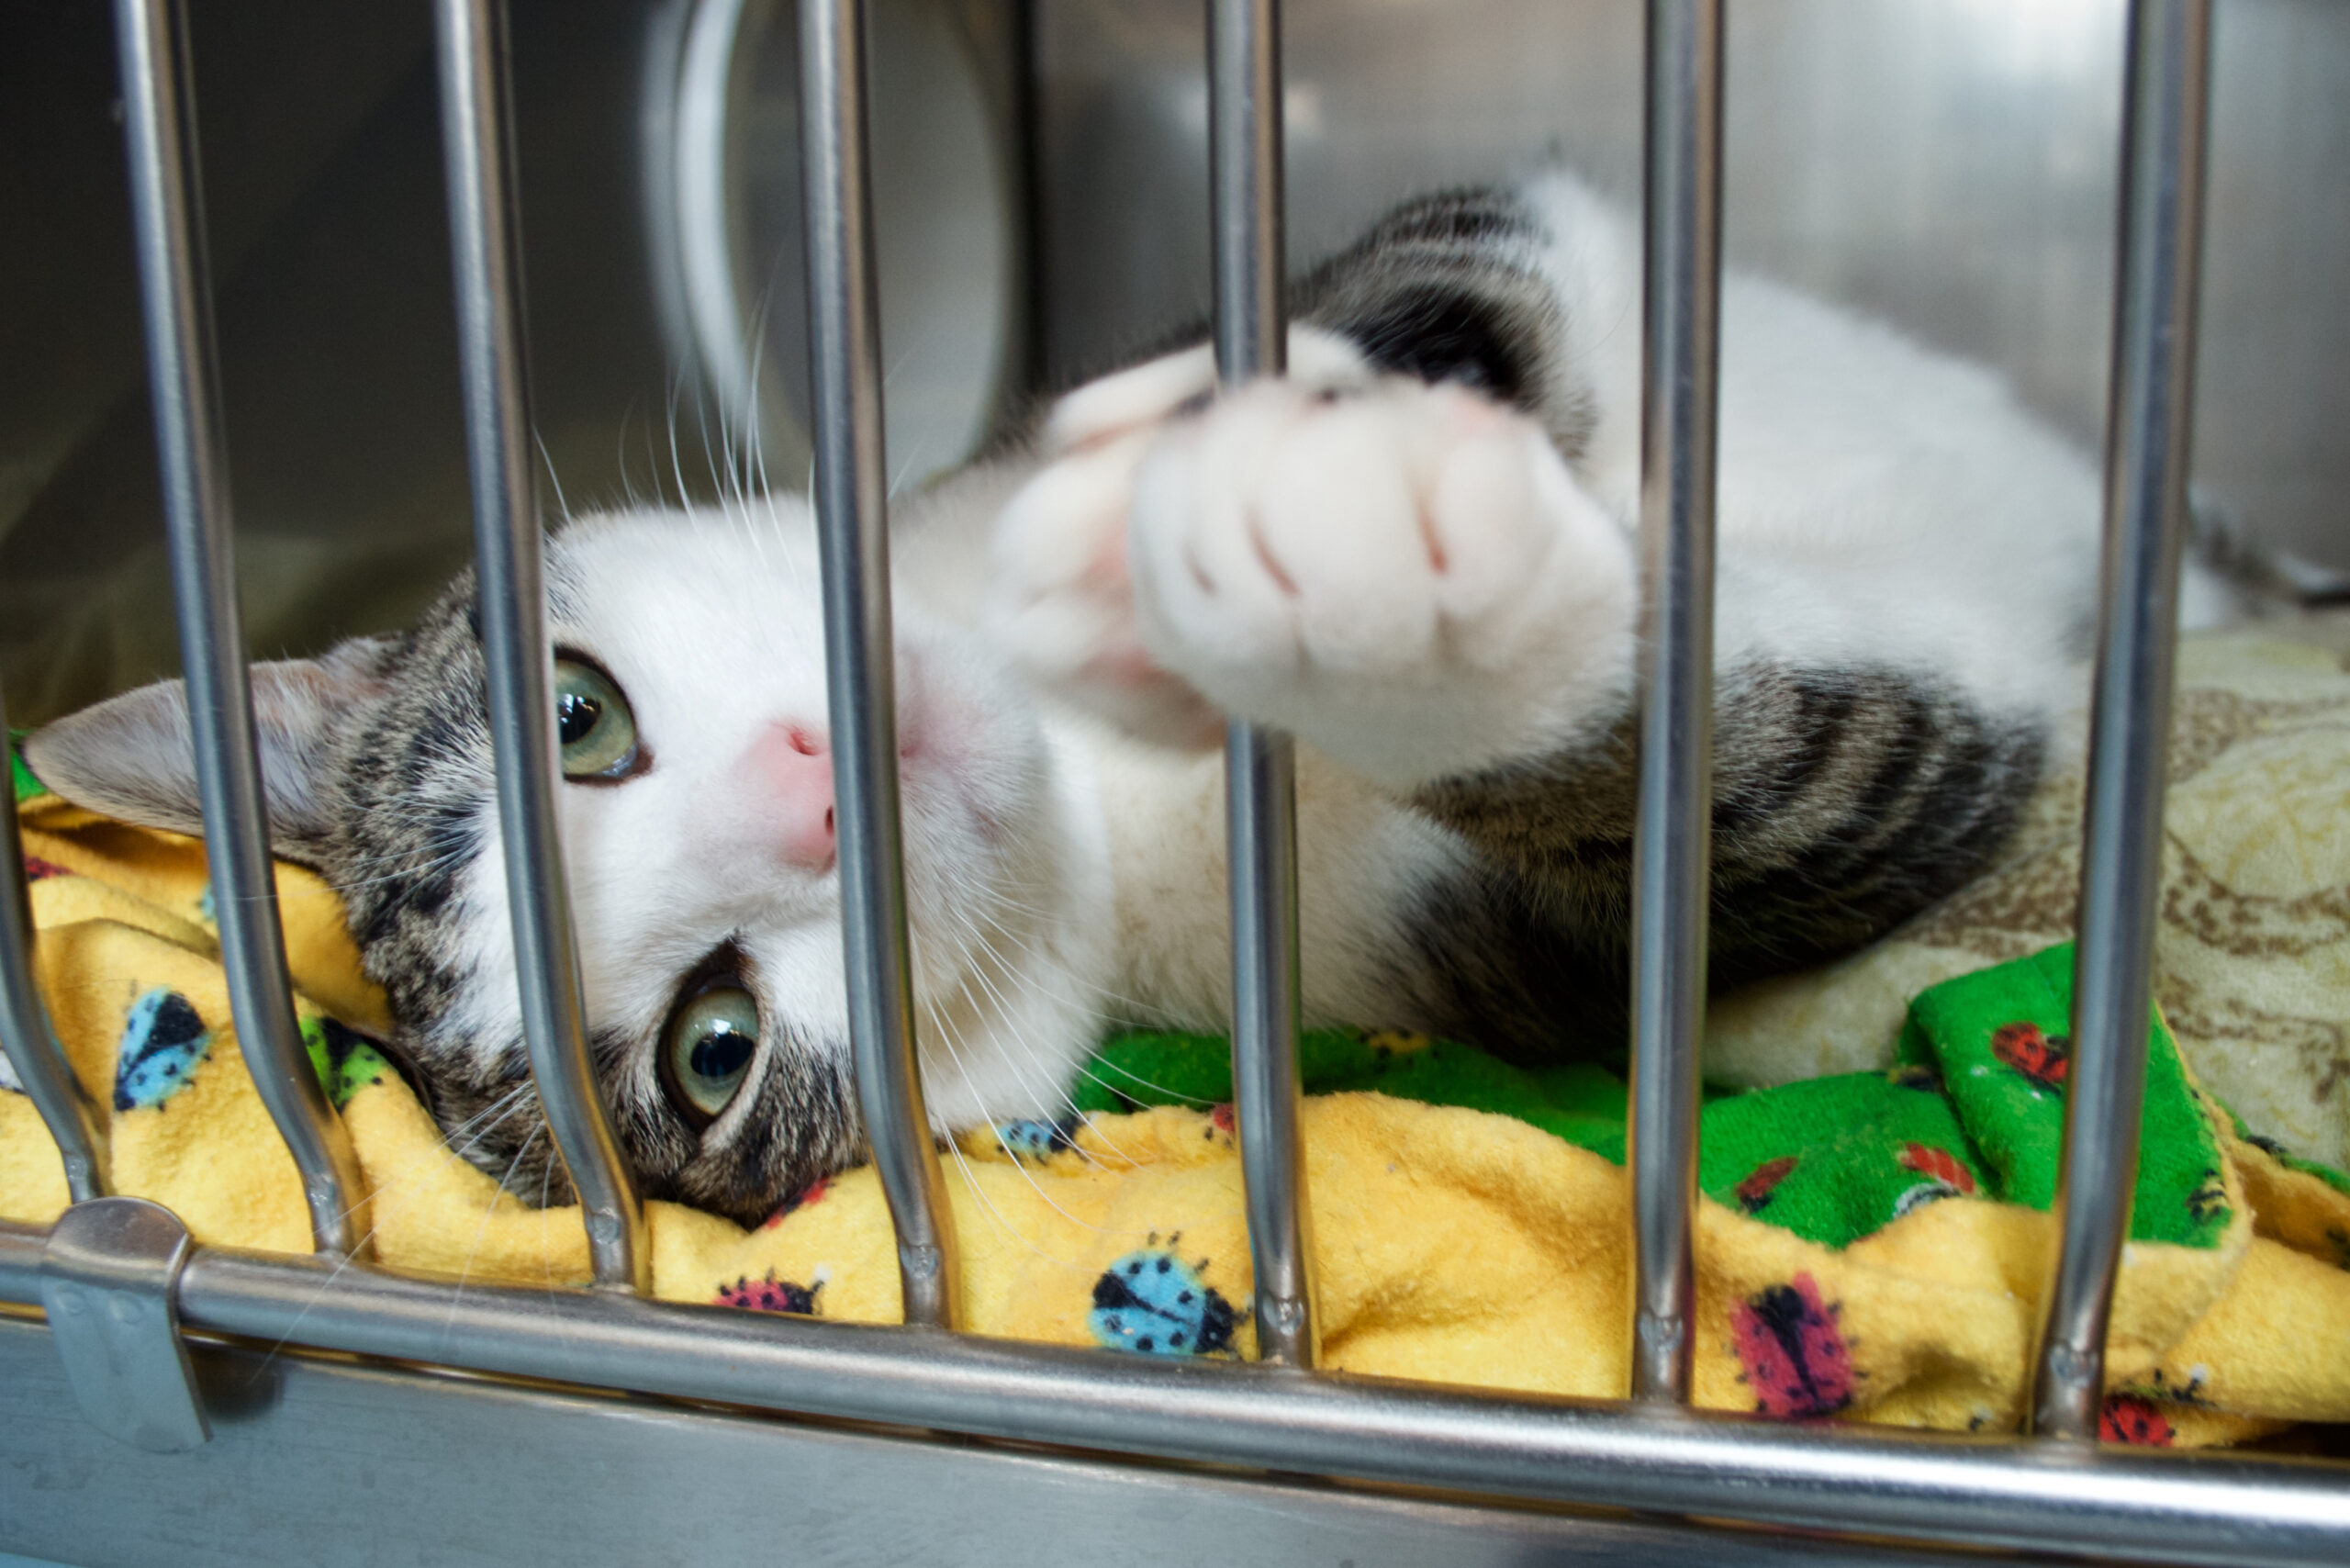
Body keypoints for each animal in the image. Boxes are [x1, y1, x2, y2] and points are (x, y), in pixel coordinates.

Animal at [22, 171, 2199, 1222]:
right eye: (715, 1050)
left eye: (578, 712)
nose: (821, 787)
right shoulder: (1475, 952)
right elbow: (1784, 791)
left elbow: (1428, 285)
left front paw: (1261, 487)